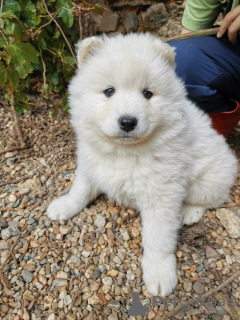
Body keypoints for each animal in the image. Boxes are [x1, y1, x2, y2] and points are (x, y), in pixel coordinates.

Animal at [47, 33, 238, 296]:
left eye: (147, 94)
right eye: (109, 91)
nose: (128, 122)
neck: (123, 151)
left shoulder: (161, 194)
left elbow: (157, 237)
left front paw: (159, 274)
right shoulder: (90, 163)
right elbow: (80, 189)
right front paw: (64, 206)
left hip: (208, 180)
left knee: (210, 200)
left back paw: (189, 212)